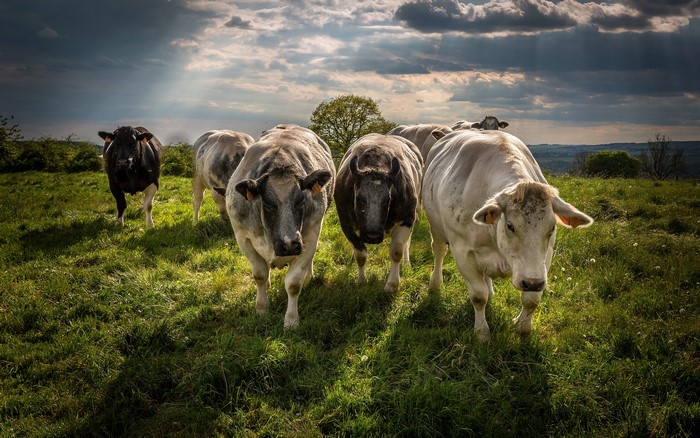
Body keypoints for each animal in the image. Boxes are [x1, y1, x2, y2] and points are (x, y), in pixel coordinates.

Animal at [218, 124, 335, 329]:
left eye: (301, 202)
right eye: (268, 204)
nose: (289, 244)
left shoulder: (309, 236)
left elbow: (293, 283)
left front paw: (291, 320)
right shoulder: (243, 237)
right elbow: (260, 274)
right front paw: (261, 308)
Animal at [334, 134, 423, 292]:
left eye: (388, 199)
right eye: (359, 198)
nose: (372, 236)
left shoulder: (407, 218)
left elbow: (397, 251)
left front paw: (392, 283)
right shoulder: (346, 223)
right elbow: (360, 254)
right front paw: (362, 280)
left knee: (406, 244)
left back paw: (406, 263)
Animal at [422, 129, 593, 341]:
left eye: (552, 227)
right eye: (510, 225)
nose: (532, 282)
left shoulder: (544, 258)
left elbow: (531, 300)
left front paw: (523, 328)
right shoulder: (462, 252)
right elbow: (478, 296)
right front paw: (482, 333)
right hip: (436, 229)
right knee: (439, 252)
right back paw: (435, 284)